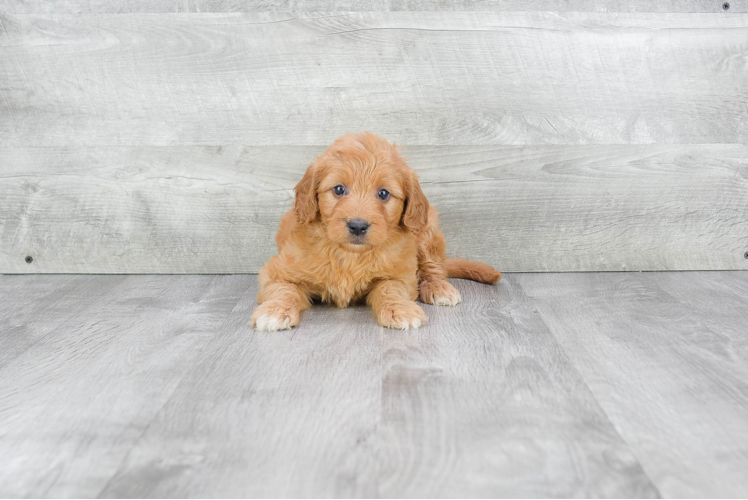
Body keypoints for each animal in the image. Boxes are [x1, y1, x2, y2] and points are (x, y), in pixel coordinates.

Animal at [251, 131, 502, 330]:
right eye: (339, 189)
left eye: (383, 194)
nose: (358, 225)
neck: (350, 255)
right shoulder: (278, 271)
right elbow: (284, 289)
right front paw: (274, 311)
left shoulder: (401, 274)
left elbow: (390, 289)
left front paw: (401, 310)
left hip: (425, 232)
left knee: (434, 267)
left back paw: (438, 288)